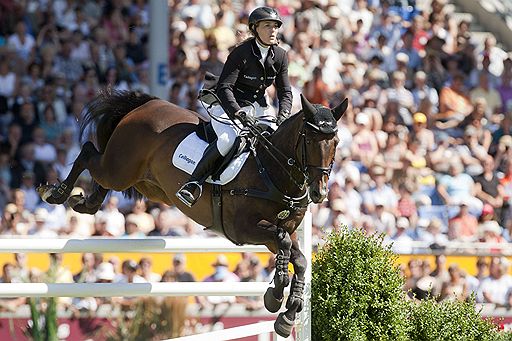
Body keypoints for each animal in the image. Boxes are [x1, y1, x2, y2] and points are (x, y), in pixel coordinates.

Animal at [37, 89, 348, 336]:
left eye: (335, 142)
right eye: (309, 139)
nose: (320, 192)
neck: (272, 170)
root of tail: (145, 105)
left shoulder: (281, 231)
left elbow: (300, 259)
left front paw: (288, 313)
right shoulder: (245, 229)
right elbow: (284, 245)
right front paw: (275, 293)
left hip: (144, 182)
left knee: (101, 175)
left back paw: (85, 203)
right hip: (121, 167)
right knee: (89, 153)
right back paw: (56, 193)